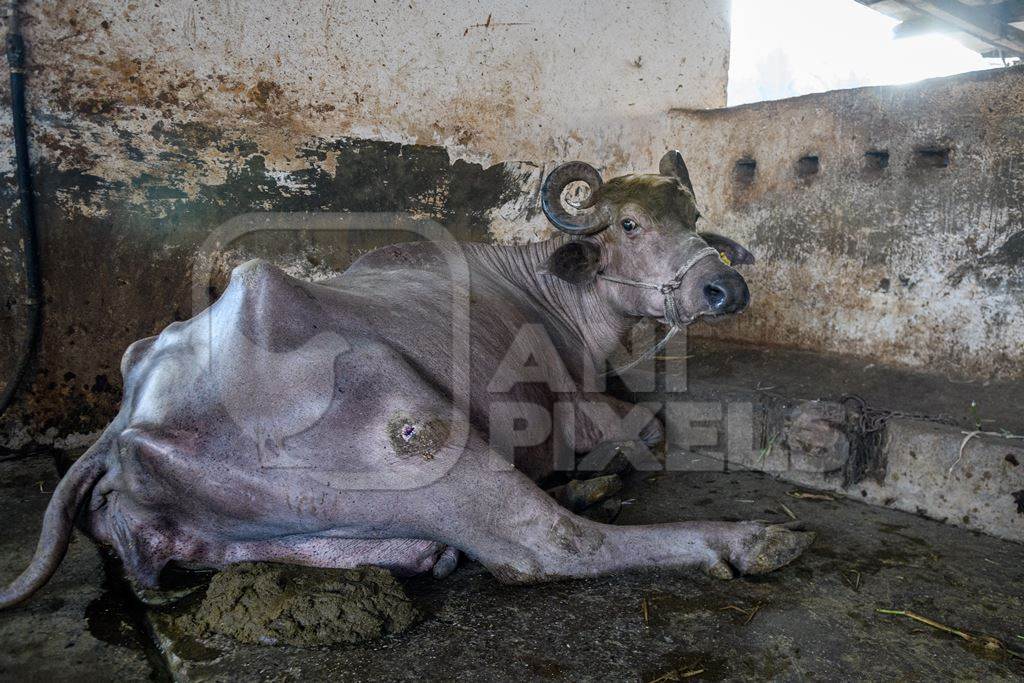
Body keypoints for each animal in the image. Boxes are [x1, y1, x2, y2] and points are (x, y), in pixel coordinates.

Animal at [4, 150, 811, 610]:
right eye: (632, 225)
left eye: (695, 215)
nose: (724, 288)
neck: (557, 300)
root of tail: (130, 415)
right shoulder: (578, 407)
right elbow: (651, 425)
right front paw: (606, 469)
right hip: (421, 429)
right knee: (546, 546)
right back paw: (750, 537)